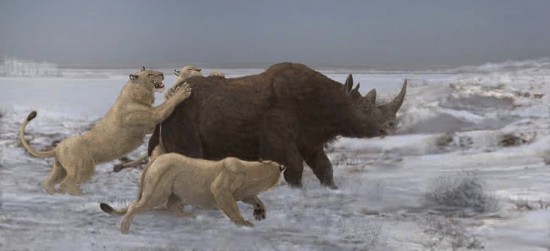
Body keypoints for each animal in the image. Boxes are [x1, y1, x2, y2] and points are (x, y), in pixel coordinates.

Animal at [18, 67, 194, 195]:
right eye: (150, 74)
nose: (162, 74)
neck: (136, 94)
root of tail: (57, 148)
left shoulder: (149, 126)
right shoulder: (151, 117)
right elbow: (165, 107)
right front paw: (182, 91)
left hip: (60, 168)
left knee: (48, 181)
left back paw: (53, 194)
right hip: (84, 167)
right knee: (67, 183)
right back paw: (80, 195)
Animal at [101, 154, 286, 234]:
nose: (284, 169)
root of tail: (156, 158)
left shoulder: (243, 193)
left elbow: (257, 199)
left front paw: (260, 212)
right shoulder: (221, 189)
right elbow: (233, 210)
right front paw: (245, 224)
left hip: (175, 193)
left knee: (171, 206)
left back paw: (191, 217)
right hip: (158, 191)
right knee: (136, 205)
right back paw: (124, 229)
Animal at [149, 62, 408, 188]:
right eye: (365, 110)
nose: (390, 126)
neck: (330, 101)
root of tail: (170, 98)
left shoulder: (310, 137)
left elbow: (324, 166)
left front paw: (332, 188)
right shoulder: (277, 135)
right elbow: (294, 166)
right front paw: (297, 190)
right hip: (180, 113)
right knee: (188, 155)